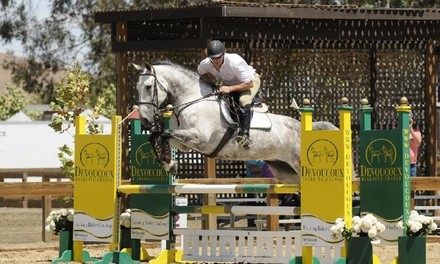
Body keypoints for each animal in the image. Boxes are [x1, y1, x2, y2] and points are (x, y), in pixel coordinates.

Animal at [133, 61, 336, 184]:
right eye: (137, 87)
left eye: (148, 87)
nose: (144, 119)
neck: (191, 99)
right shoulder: (183, 143)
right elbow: (157, 135)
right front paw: (169, 164)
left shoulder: (199, 139)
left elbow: (163, 134)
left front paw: (170, 164)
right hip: (285, 170)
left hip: (299, 165)